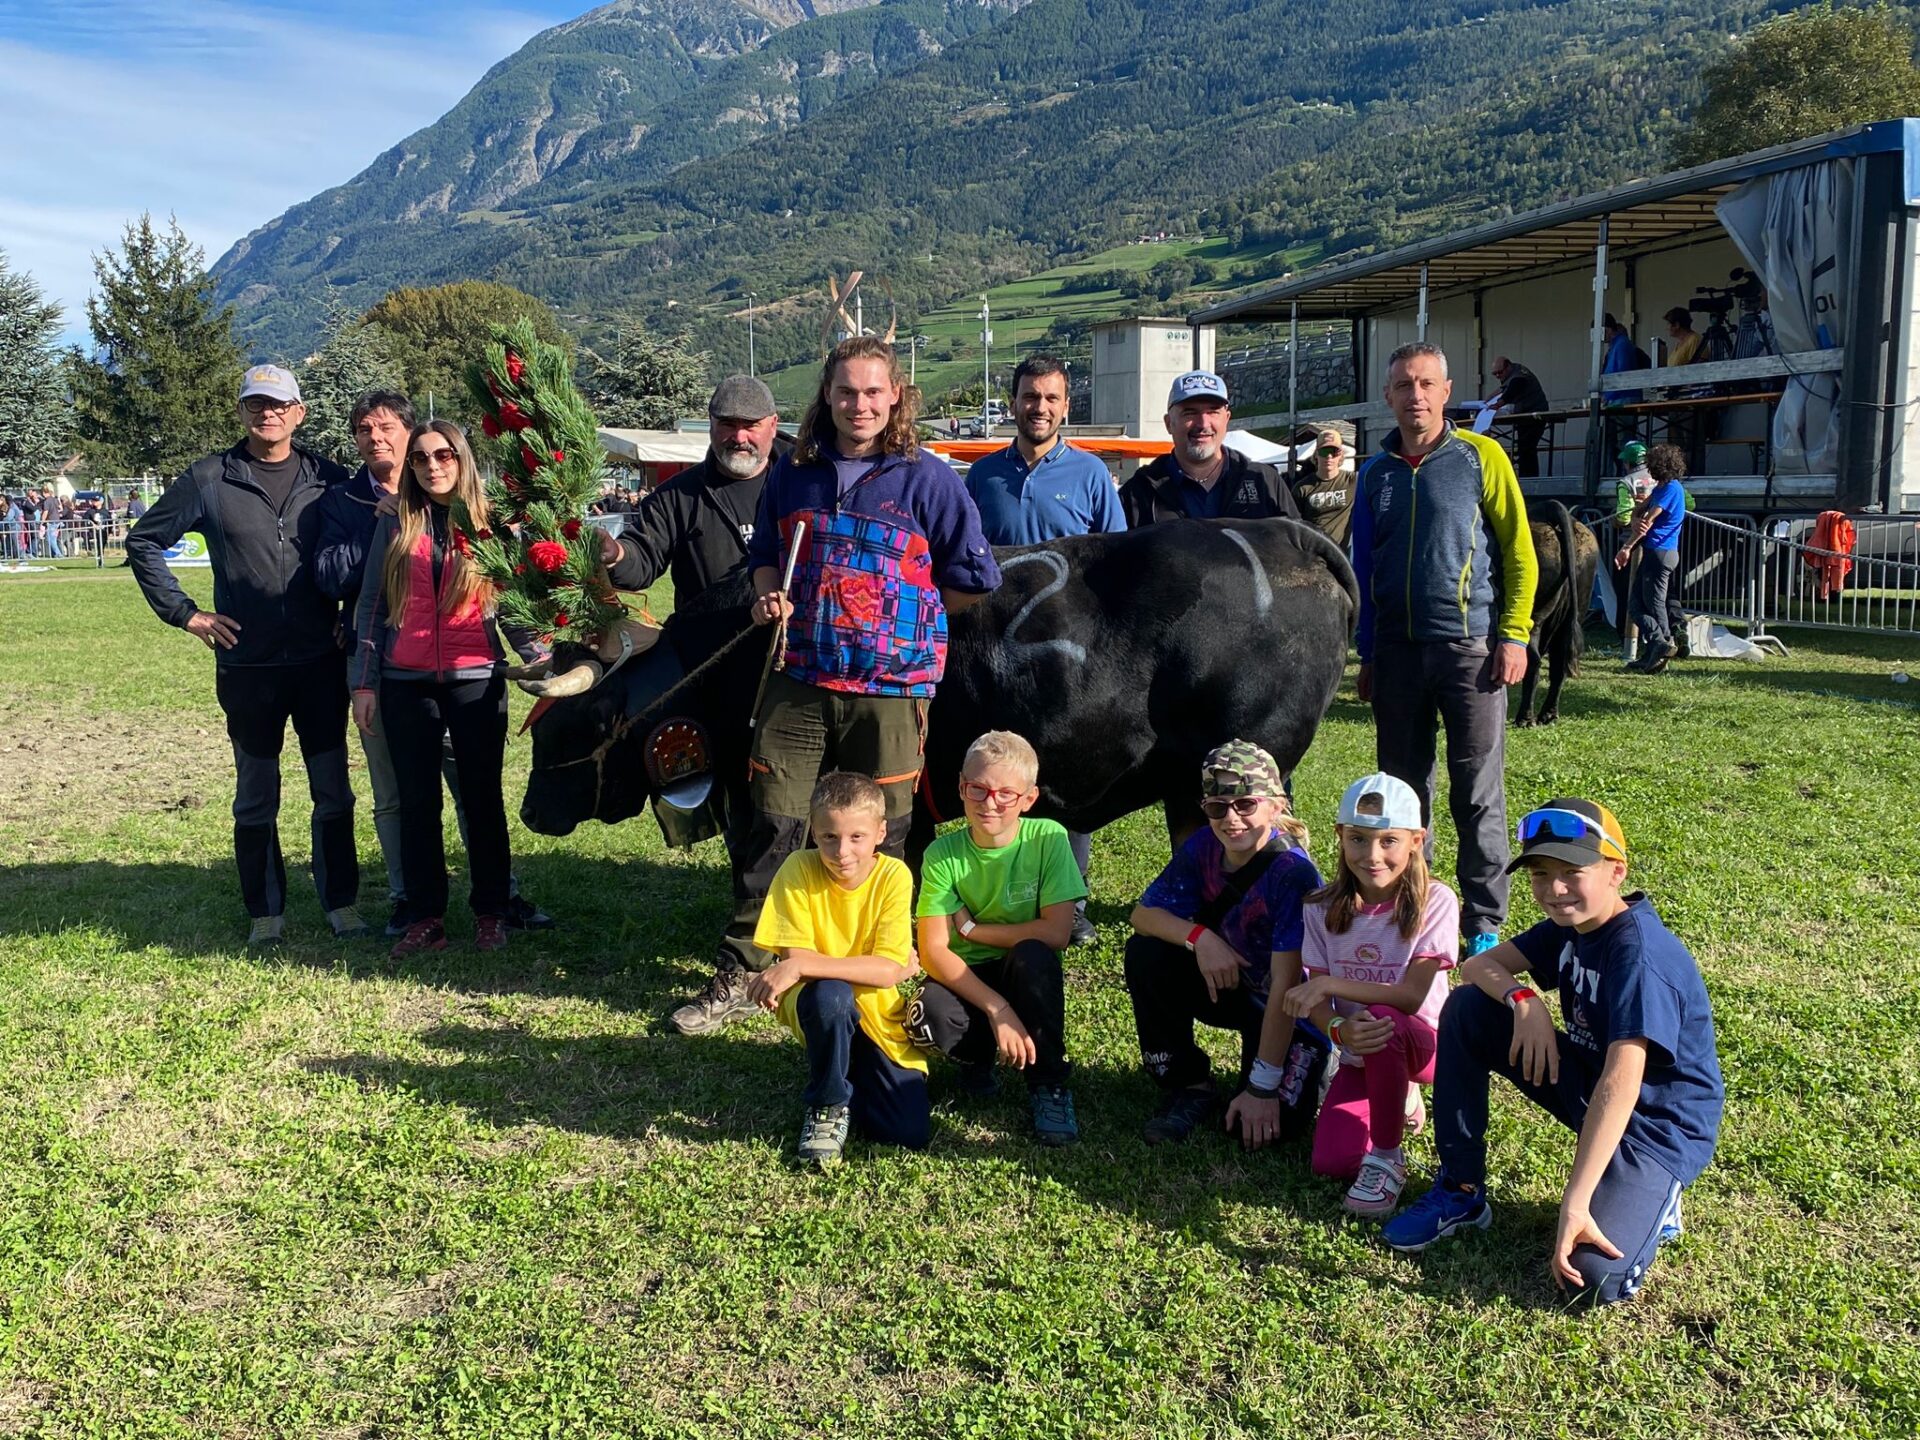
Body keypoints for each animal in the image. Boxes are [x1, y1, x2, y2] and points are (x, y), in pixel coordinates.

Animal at [1505, 499, 1597, 725]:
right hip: (1571, 616)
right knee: (1559, 664)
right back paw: (1548, 715)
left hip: (1532, 618)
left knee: (1534, 659)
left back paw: (1525, 718)